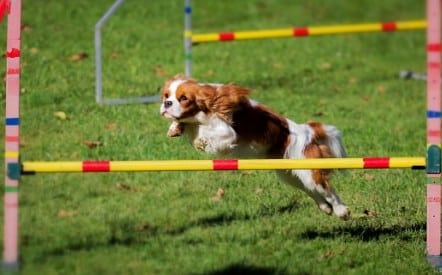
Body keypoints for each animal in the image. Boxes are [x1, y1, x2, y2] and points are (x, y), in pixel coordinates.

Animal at [161, 75, 350, 220]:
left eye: (183, 99)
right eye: (166, 96)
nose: (167, 104)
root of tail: (307, 131)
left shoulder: (228, 133)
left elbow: (206, 135)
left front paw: (199, 140)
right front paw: (175, 128)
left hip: (309, 170)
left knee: (327, 189)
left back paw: (342, 211)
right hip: (290, 175)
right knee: (311, 190)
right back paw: (326, 207)